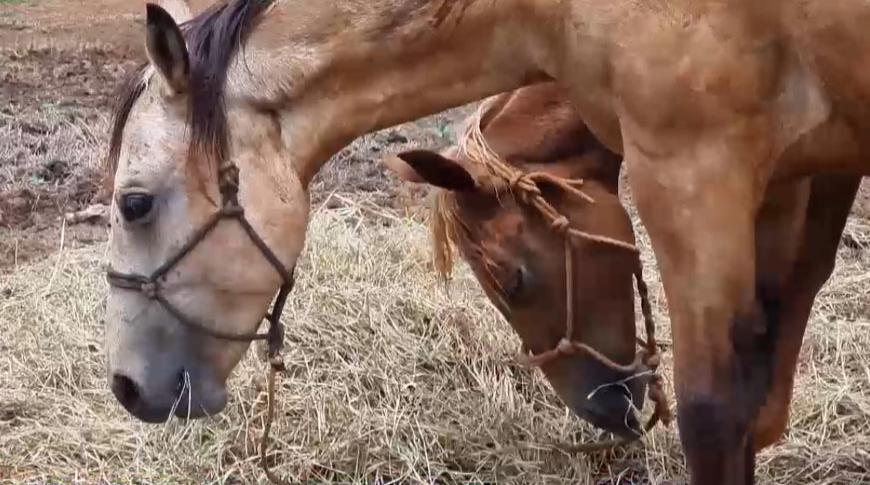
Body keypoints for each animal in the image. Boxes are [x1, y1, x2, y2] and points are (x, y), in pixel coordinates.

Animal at [105, 1, 868, 482]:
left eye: (133, 203)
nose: (127, 387)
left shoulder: (695, 173)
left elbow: (716, 417)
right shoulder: (805, 175)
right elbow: (762, 401)